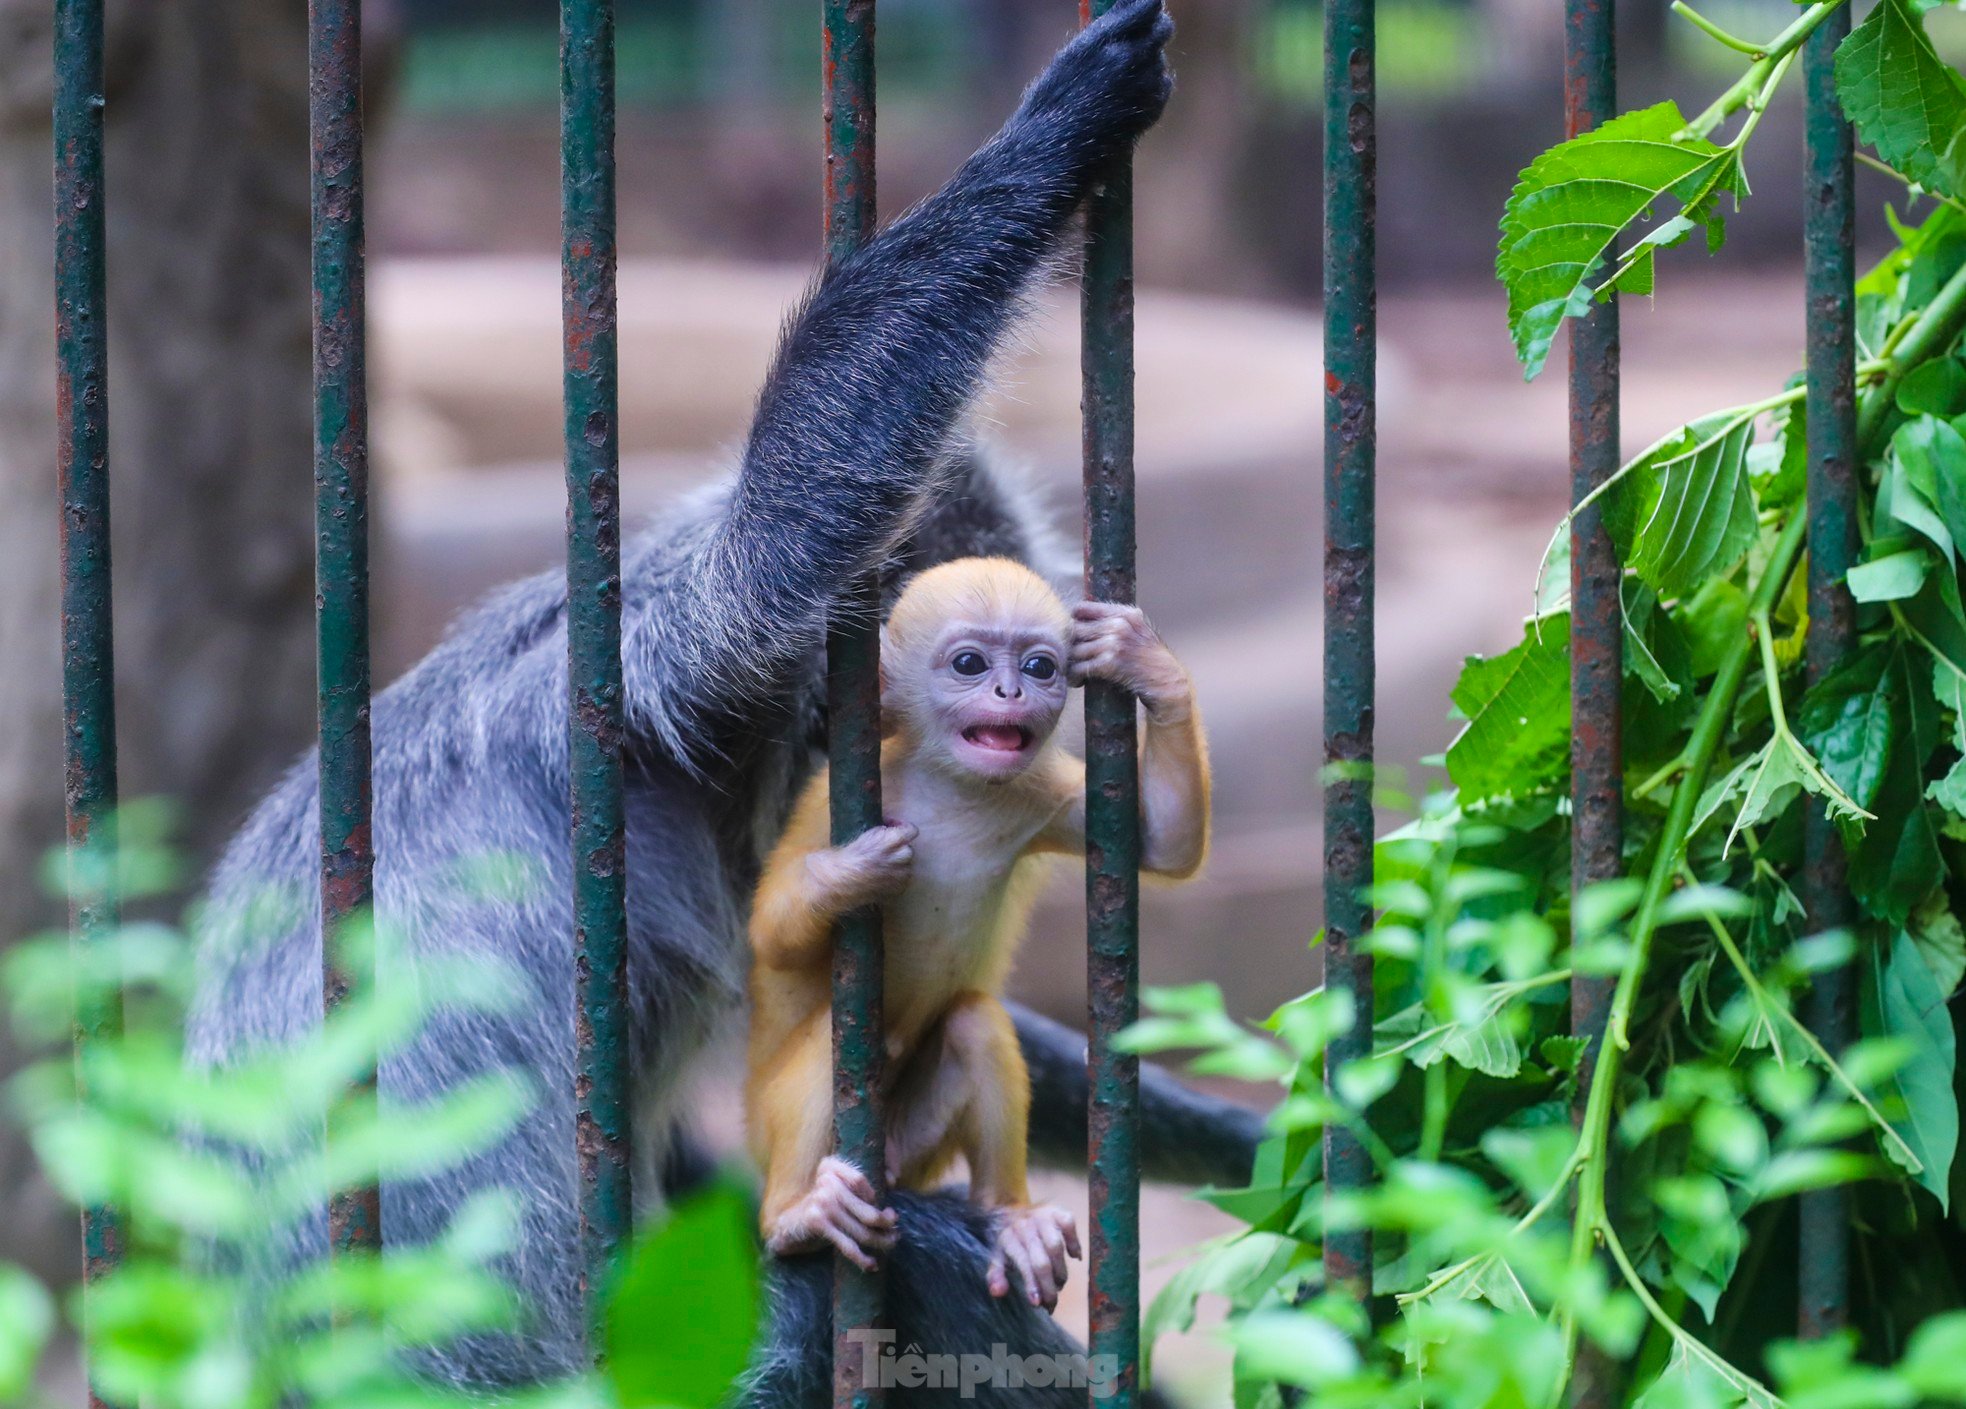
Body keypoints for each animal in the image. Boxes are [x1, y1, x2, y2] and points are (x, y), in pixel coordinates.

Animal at [751, 554, 1211, 1304]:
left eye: (1041, 666)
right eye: (969, 662)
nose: (1009, 690)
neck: (952, 789)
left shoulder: (1041, 789)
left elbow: (1161, 842)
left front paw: (1144, 661)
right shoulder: (832, 802)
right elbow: (769, 935)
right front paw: (850, 875)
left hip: (914, 1148)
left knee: (974, 1022)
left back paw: (1011, 1217)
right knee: (828, 1042)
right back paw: (796, 1216)